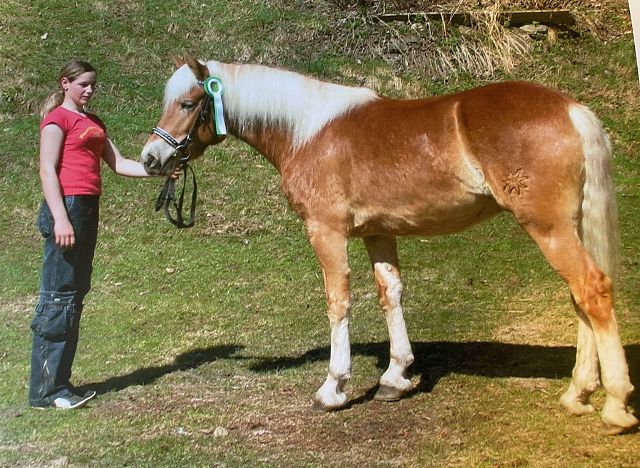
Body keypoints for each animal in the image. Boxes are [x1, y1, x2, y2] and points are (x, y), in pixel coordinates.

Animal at [141, 54, 640, 432]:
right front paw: (396, 378)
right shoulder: (378, 232)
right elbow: (390, 293)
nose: (151, 158)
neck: (307, 130)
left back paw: (615, 405)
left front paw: (334, 387)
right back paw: (577, 394)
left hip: (548, 227)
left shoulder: (326, 231)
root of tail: (572, 109)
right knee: (580, 298)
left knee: (592, 290)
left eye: (188, 103)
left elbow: (338, 300)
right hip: (569, 226)